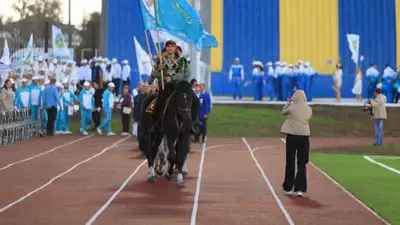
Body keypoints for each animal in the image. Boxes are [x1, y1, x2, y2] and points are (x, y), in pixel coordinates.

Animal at [139, 39, 200, 185]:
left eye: (190, 98)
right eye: (178, 97)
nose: (187, 116)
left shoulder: (183, 134)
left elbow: (181, 154)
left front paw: (179, 175)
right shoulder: (171, 134)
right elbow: (172, 155)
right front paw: (168, 172)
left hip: (159, 133)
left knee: (156, 150)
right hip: (148, 131)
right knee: (150, 151)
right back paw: (152, 174)